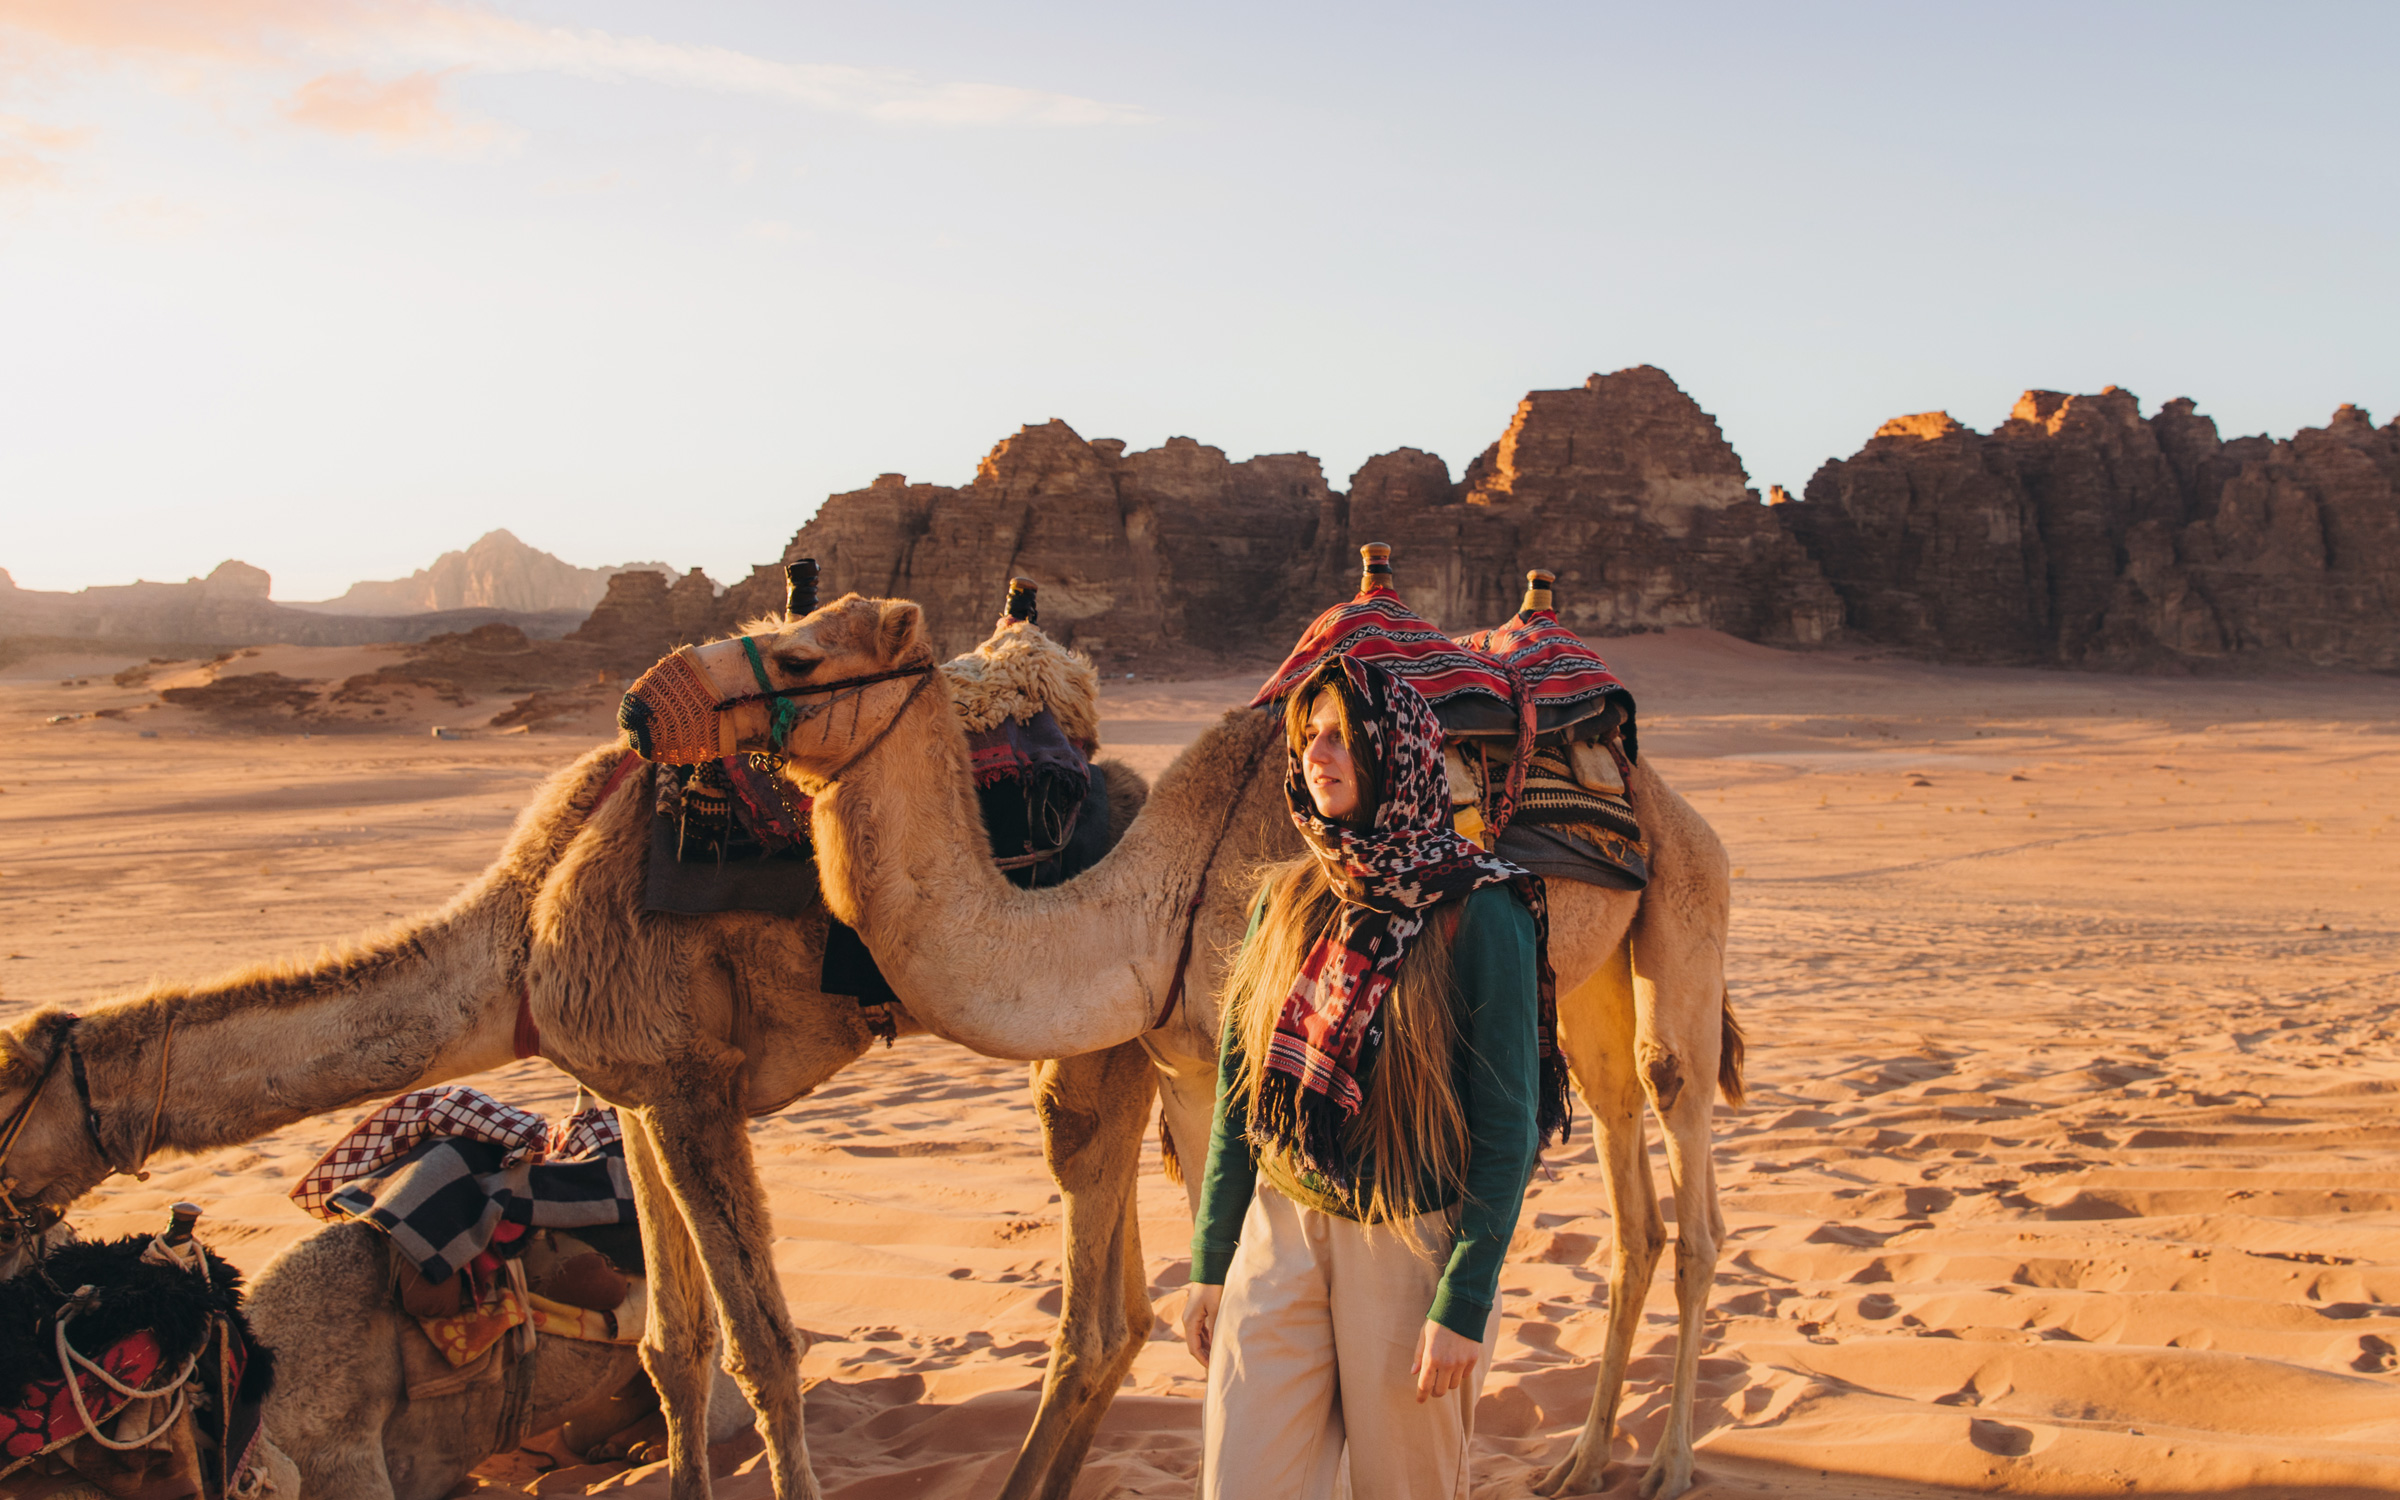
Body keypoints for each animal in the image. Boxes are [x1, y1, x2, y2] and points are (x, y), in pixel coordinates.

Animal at [648, 597, 1747, 1497]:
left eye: (798, 654)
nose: (648, 701)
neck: (1150, 914)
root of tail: (1656, 786)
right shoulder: (1189, 1070)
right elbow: (1217, 1272)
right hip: (1586, 982)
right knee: (1628, 1186)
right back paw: (1582, 1461)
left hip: (1690, 905)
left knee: (1686, 1171)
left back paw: (1669, 1467)